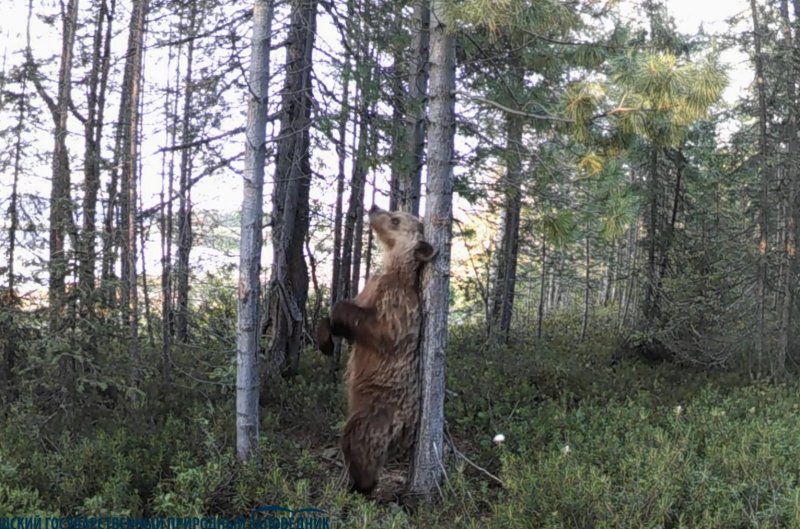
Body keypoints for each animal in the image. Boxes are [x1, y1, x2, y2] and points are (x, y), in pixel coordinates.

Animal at [316, 204, 438, 492]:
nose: (373, 207)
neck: (390, 266)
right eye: (395, 211)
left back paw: (362, 485)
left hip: (380, 410)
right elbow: (340, 321)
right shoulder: (369, 289)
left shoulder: (396, 309)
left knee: (359, 439)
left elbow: (373, 326)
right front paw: (325, 340)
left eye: (395, 219)